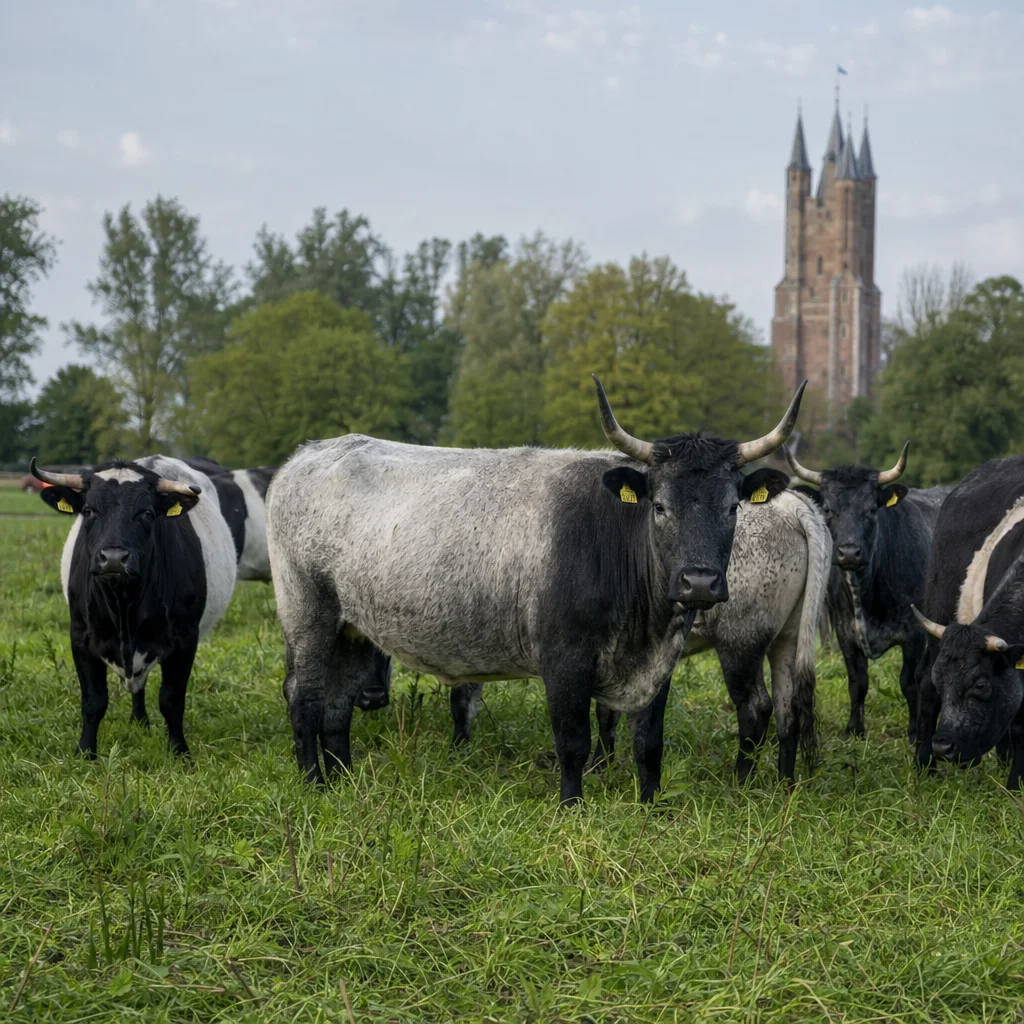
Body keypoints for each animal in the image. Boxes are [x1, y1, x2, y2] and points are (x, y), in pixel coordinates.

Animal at [32, 455, 236, 759]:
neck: (124, 602)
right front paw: (85, 753)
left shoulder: (186, 639)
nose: (114, 558)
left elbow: (171, 700)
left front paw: (179, 752)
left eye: (148, 513)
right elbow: (93, 701)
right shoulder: (80, 636)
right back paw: (138, 720)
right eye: (89, 511)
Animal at [379, 468, 831, 785]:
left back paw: (742, 785)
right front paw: (605, 764)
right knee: (790, 707)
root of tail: (793, 504)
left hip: (741, 639)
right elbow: (607, 709)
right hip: (788, 636)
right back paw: (785, 783)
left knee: (756, 706)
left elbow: (465, 697)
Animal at [785, 446, 952, 741]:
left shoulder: (915, 634)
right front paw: (853, 729)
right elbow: (857, 683)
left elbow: (909, 683)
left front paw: (913, 731)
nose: (849, 552)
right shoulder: (845, 633)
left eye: (872, 509)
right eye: (827, 509)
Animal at [910, 455, 1024, 788]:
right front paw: (1017, 782)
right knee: (923, 685)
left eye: (981, 685)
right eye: (943, 681)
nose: (943, 745)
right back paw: (925, 764)